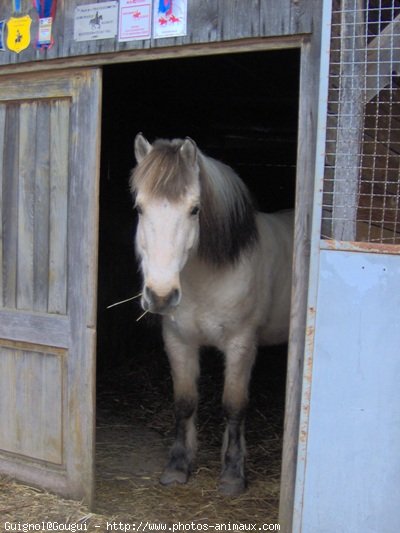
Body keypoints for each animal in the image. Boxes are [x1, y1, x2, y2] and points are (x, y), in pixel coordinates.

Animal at [131, 133, 294, 494]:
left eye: (194, 209)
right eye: (139, 207)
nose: (161, 296)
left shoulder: (241, 345)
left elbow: (234, 405)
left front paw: (233, 473)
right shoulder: (178, 342)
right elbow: (184, 402)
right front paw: (178, 466)